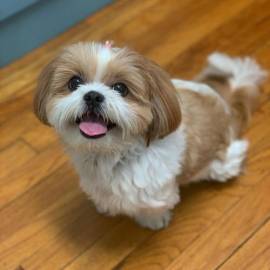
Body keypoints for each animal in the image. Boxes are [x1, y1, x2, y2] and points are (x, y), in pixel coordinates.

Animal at [32, 41, 264, 230]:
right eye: (74, 82)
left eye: (121, 88)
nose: (93, 95)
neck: (112, 153)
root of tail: (224, 104)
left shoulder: (155, 192)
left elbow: (150, 208)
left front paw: (153, 221)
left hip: (223, 164)